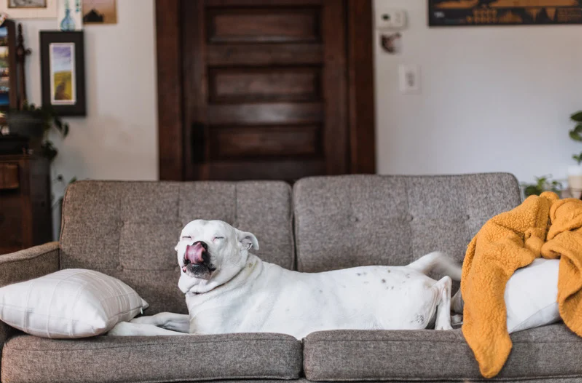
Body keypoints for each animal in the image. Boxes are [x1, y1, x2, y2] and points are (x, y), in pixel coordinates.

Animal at [109, 219, 470, 340]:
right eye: (187, 235)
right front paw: (141, 316)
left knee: (443, 284)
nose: (197, 246)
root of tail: (412, 268)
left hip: (401, 315)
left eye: (218, 238)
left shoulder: (203, 336)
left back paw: (443, 323)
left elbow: (153, 333)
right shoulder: (194, 320)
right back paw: (452, 319)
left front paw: (123, 327)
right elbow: (163, 316)